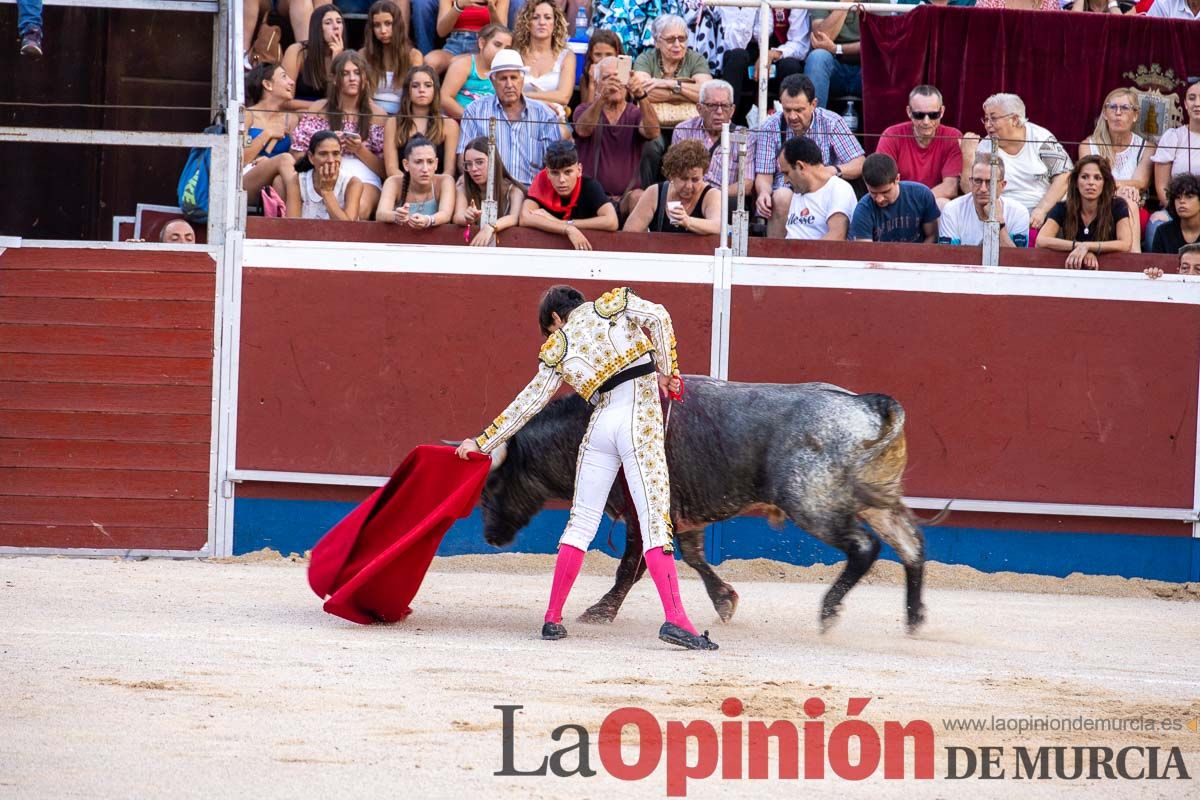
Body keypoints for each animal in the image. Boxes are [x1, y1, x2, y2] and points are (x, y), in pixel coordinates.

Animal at [475, 379, 926, 633]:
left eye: (492, 484)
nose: (490, 536)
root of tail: (866, 404)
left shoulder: (641, 508)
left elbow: (632, 565)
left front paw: (600, 612)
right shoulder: (680, 511)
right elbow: (691, 556)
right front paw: (725, 601)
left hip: (811, 500)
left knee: (864, 547)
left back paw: (831, 612)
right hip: (876, 501)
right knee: (912, 546)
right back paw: (915, 618)